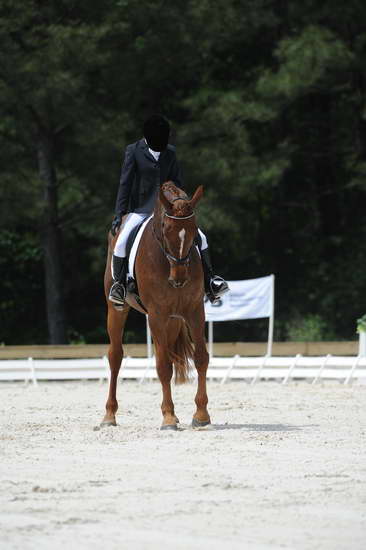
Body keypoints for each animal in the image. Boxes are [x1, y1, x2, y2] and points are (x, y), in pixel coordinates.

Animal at [103, 181, 210, 432]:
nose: (179, 278)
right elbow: (162, 366)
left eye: (194, 230)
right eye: (165, 228)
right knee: (115, 356)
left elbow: (201, 357)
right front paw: (168, 417)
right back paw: (109, 415)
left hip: (172, 321)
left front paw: (201, 414)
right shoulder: (157, 315)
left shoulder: (194, 311)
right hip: (117, 309)